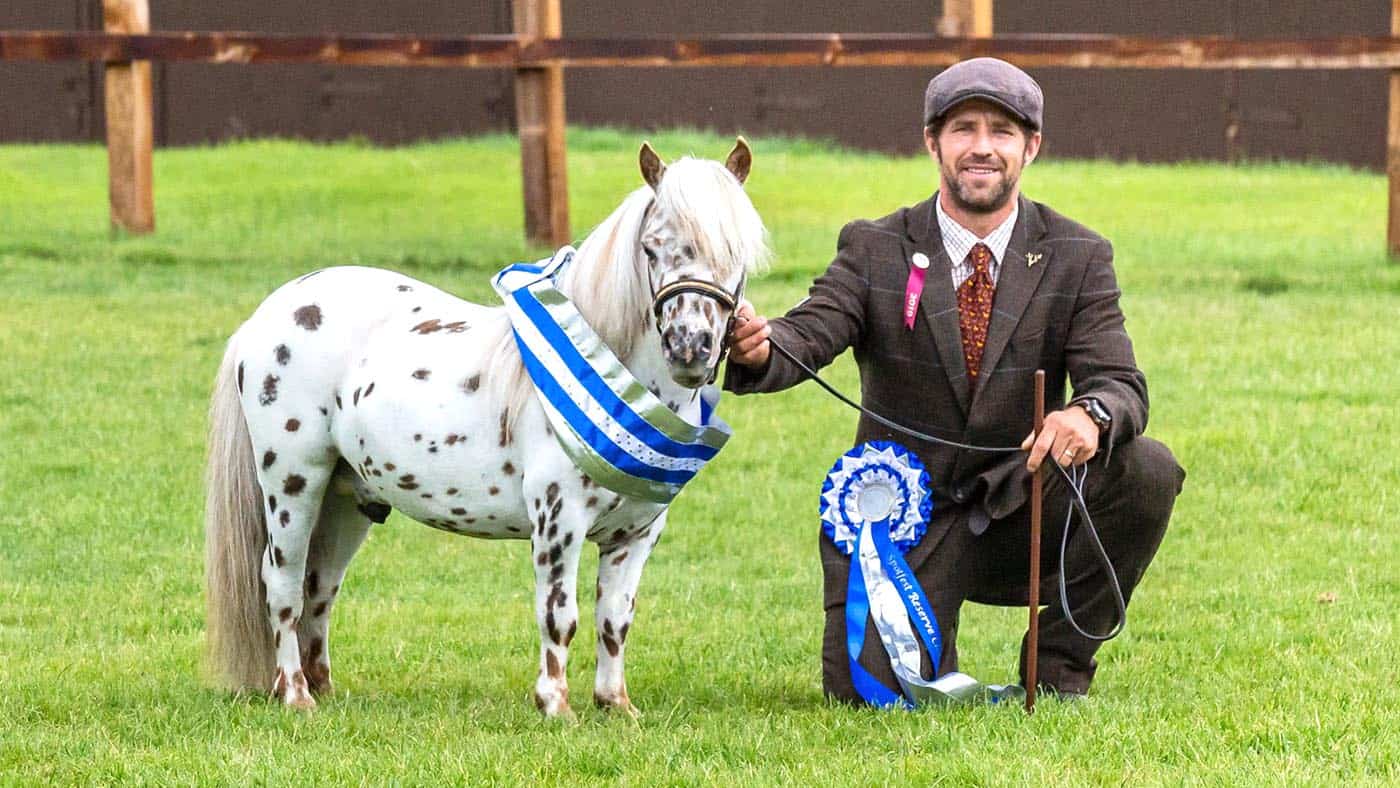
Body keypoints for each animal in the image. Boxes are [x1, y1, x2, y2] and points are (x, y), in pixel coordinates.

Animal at [204, 139, 767, 717]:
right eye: (652, 249)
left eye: (736, 254)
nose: (690, 348)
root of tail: (265, 316)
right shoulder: (559, 520)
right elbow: (558, 615)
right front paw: (555, 706)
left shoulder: (637, 533)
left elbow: (615, 619)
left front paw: (616, 705)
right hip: (293, 485)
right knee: (283, 584)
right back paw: (296, 696)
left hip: (343, 501)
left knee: (319, 586)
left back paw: (321, 688)